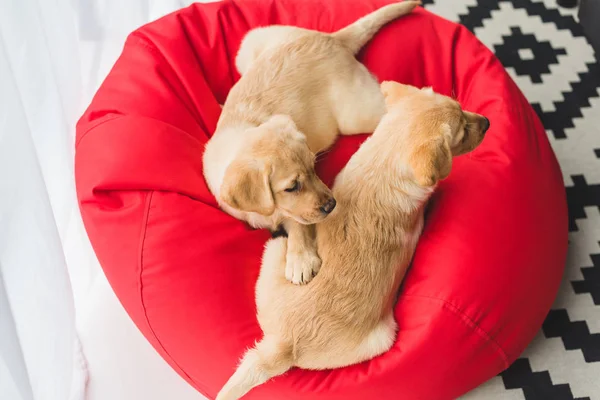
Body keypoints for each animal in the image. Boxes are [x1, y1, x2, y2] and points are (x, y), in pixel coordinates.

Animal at [204, 1, 420, 286]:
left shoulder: (296, 215)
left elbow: (299, 224)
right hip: (249, 47)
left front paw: (300, 259)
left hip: (357, 113)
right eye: (292, 187)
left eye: (314, 167)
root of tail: (331, 39)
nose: (332, 205)